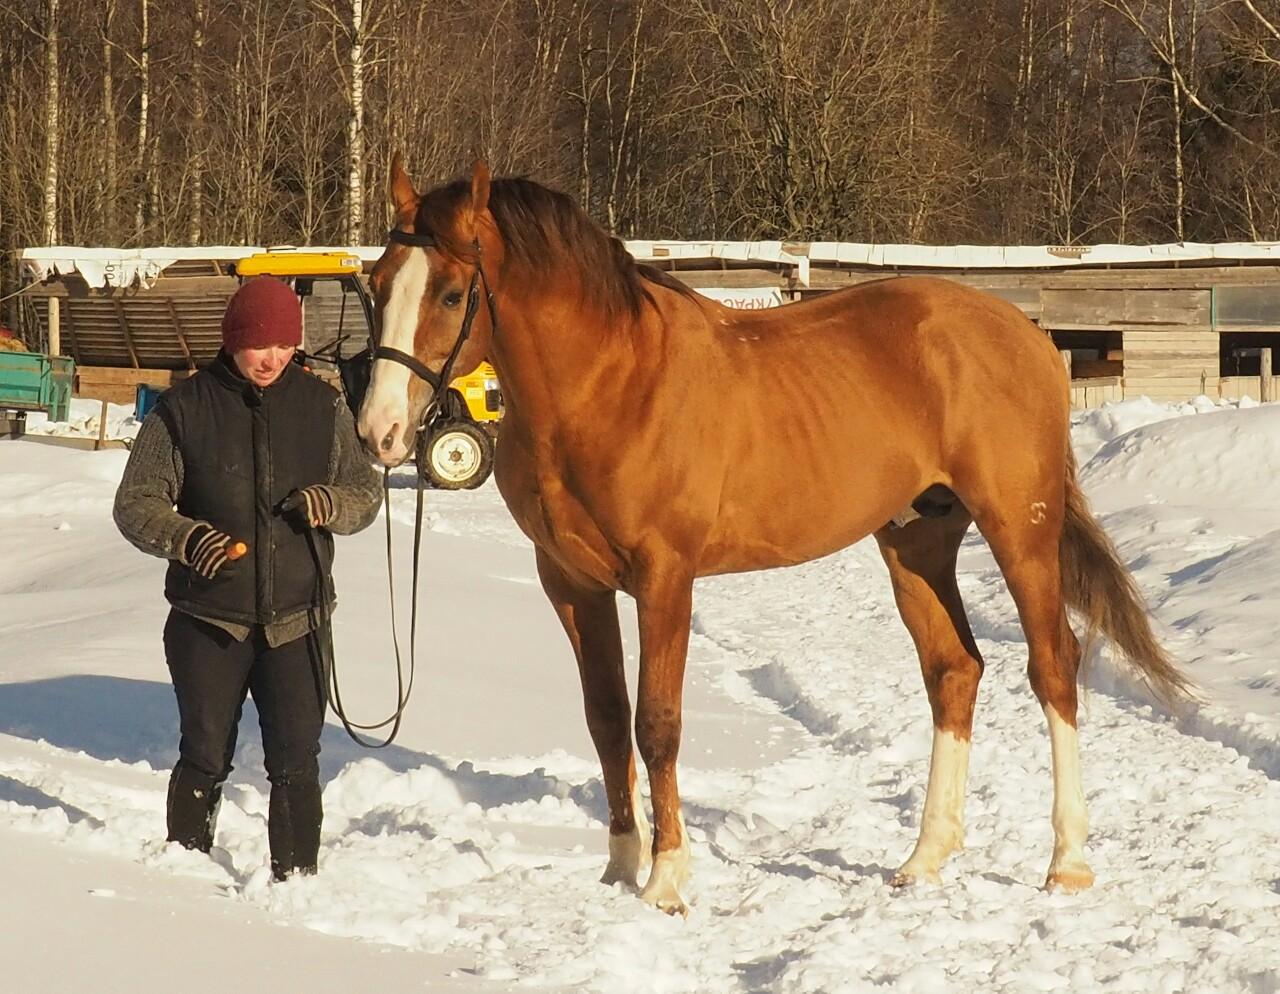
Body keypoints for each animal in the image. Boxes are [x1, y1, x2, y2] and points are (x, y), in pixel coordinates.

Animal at [353, 157, 1187, 915]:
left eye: (451, 292)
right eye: (379, 283)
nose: (379, 431)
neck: (613, 382)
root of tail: (1029, 336)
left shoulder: (664, 577)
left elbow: (658, 722)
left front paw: (665, 882)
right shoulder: (572, 584)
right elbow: (606, 719)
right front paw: (619, 871)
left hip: (1020, 527)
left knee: (1053, 667)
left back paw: (1067, 862)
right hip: (917, 543)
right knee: (954, 671)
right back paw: (923, 859)